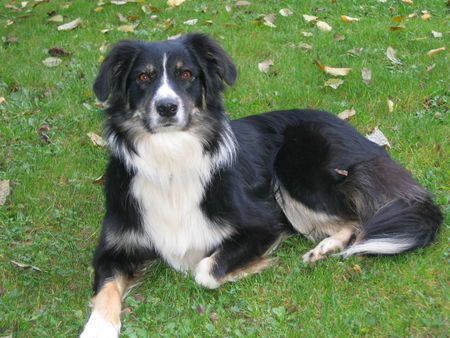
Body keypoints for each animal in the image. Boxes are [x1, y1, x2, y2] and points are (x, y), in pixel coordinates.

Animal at [80, 32, 440, 338]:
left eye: (186, 75)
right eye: (143, 77)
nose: (166, 107)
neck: (169, 158)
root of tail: (358, 135)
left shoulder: (263, 224)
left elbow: (205, 270)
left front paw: (251, 267)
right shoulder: (114, 247)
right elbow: (105, 291)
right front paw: (97, 328)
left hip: (297, 173)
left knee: (359, 220)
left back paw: (327, 246)